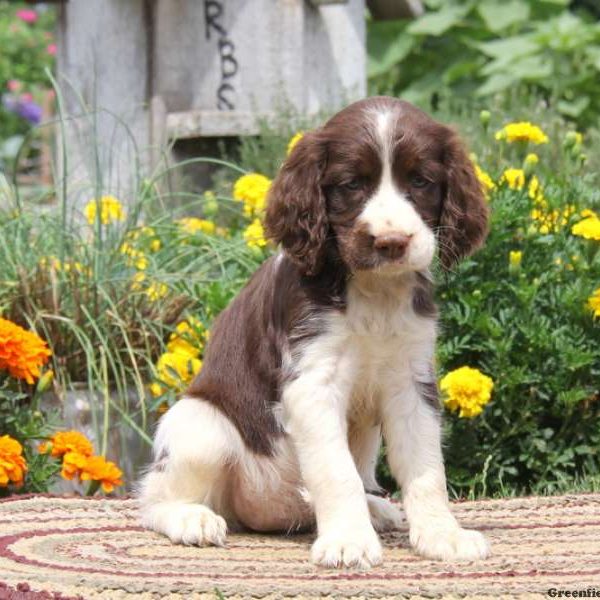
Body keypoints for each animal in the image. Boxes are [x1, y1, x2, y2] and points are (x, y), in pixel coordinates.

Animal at [138, 97, 490, 568]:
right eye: (352, 184)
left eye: (421, 180)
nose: (392, 242)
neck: (372, 292)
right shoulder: (312, 381)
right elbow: (335, 470)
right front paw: (348, 542)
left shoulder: (411, 381)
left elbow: (426, 467)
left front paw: (442, 536)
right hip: (201, 424)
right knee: (155, 497)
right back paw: (191, 518)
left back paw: (375, 508)